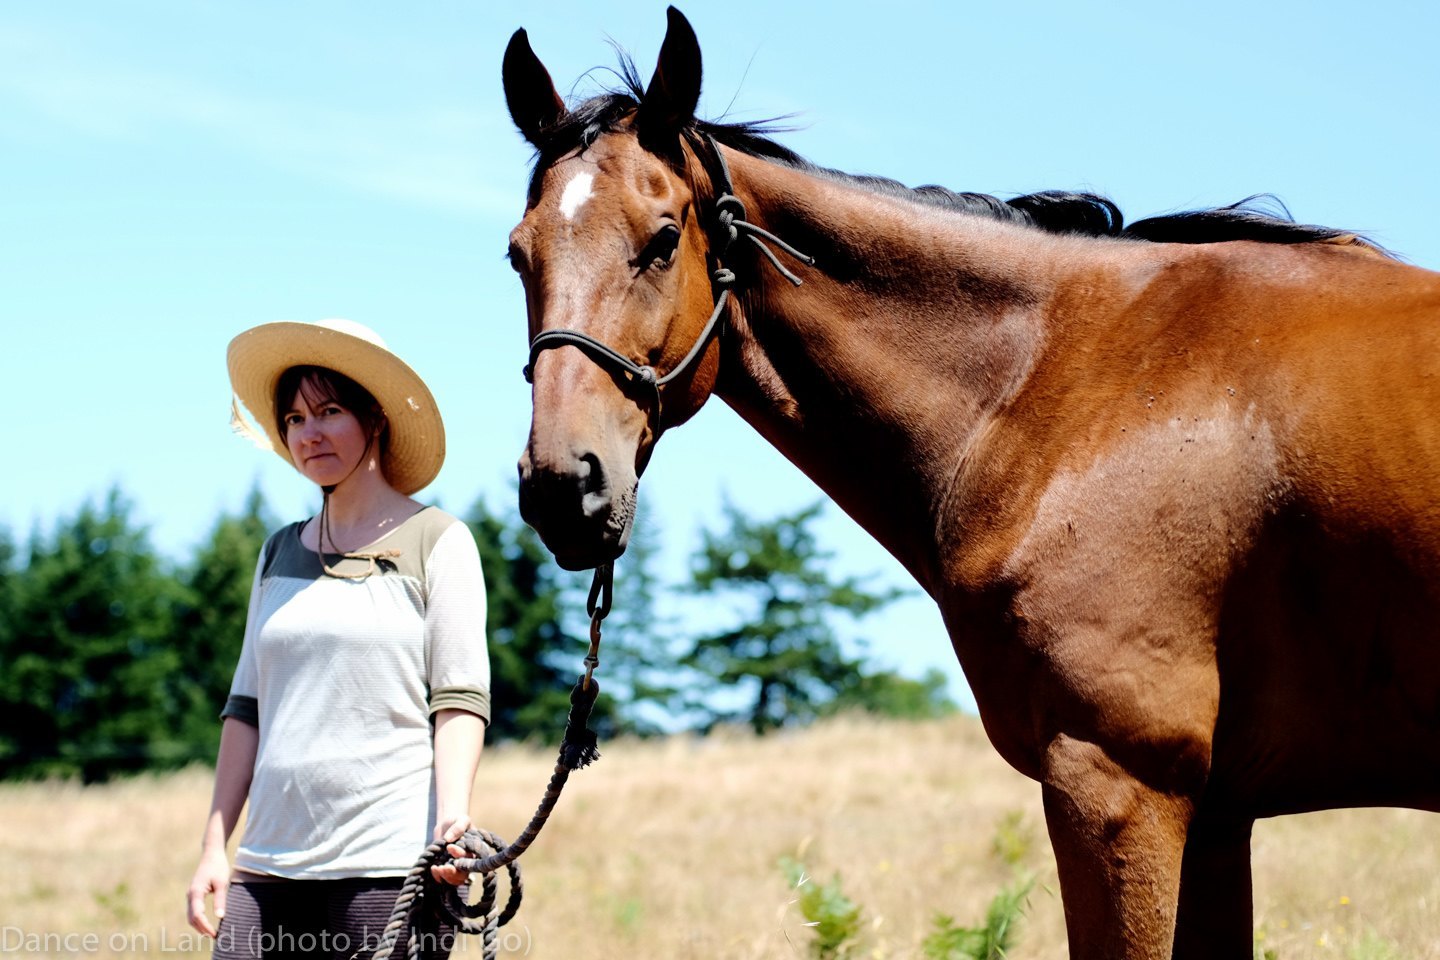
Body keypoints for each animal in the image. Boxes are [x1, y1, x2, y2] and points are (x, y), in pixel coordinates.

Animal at [501, 9, 1440, 960]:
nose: (561, 486)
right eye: (517, 257)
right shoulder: (1217, 817)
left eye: (661, 241)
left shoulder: (1121, 787)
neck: (1073, 381)